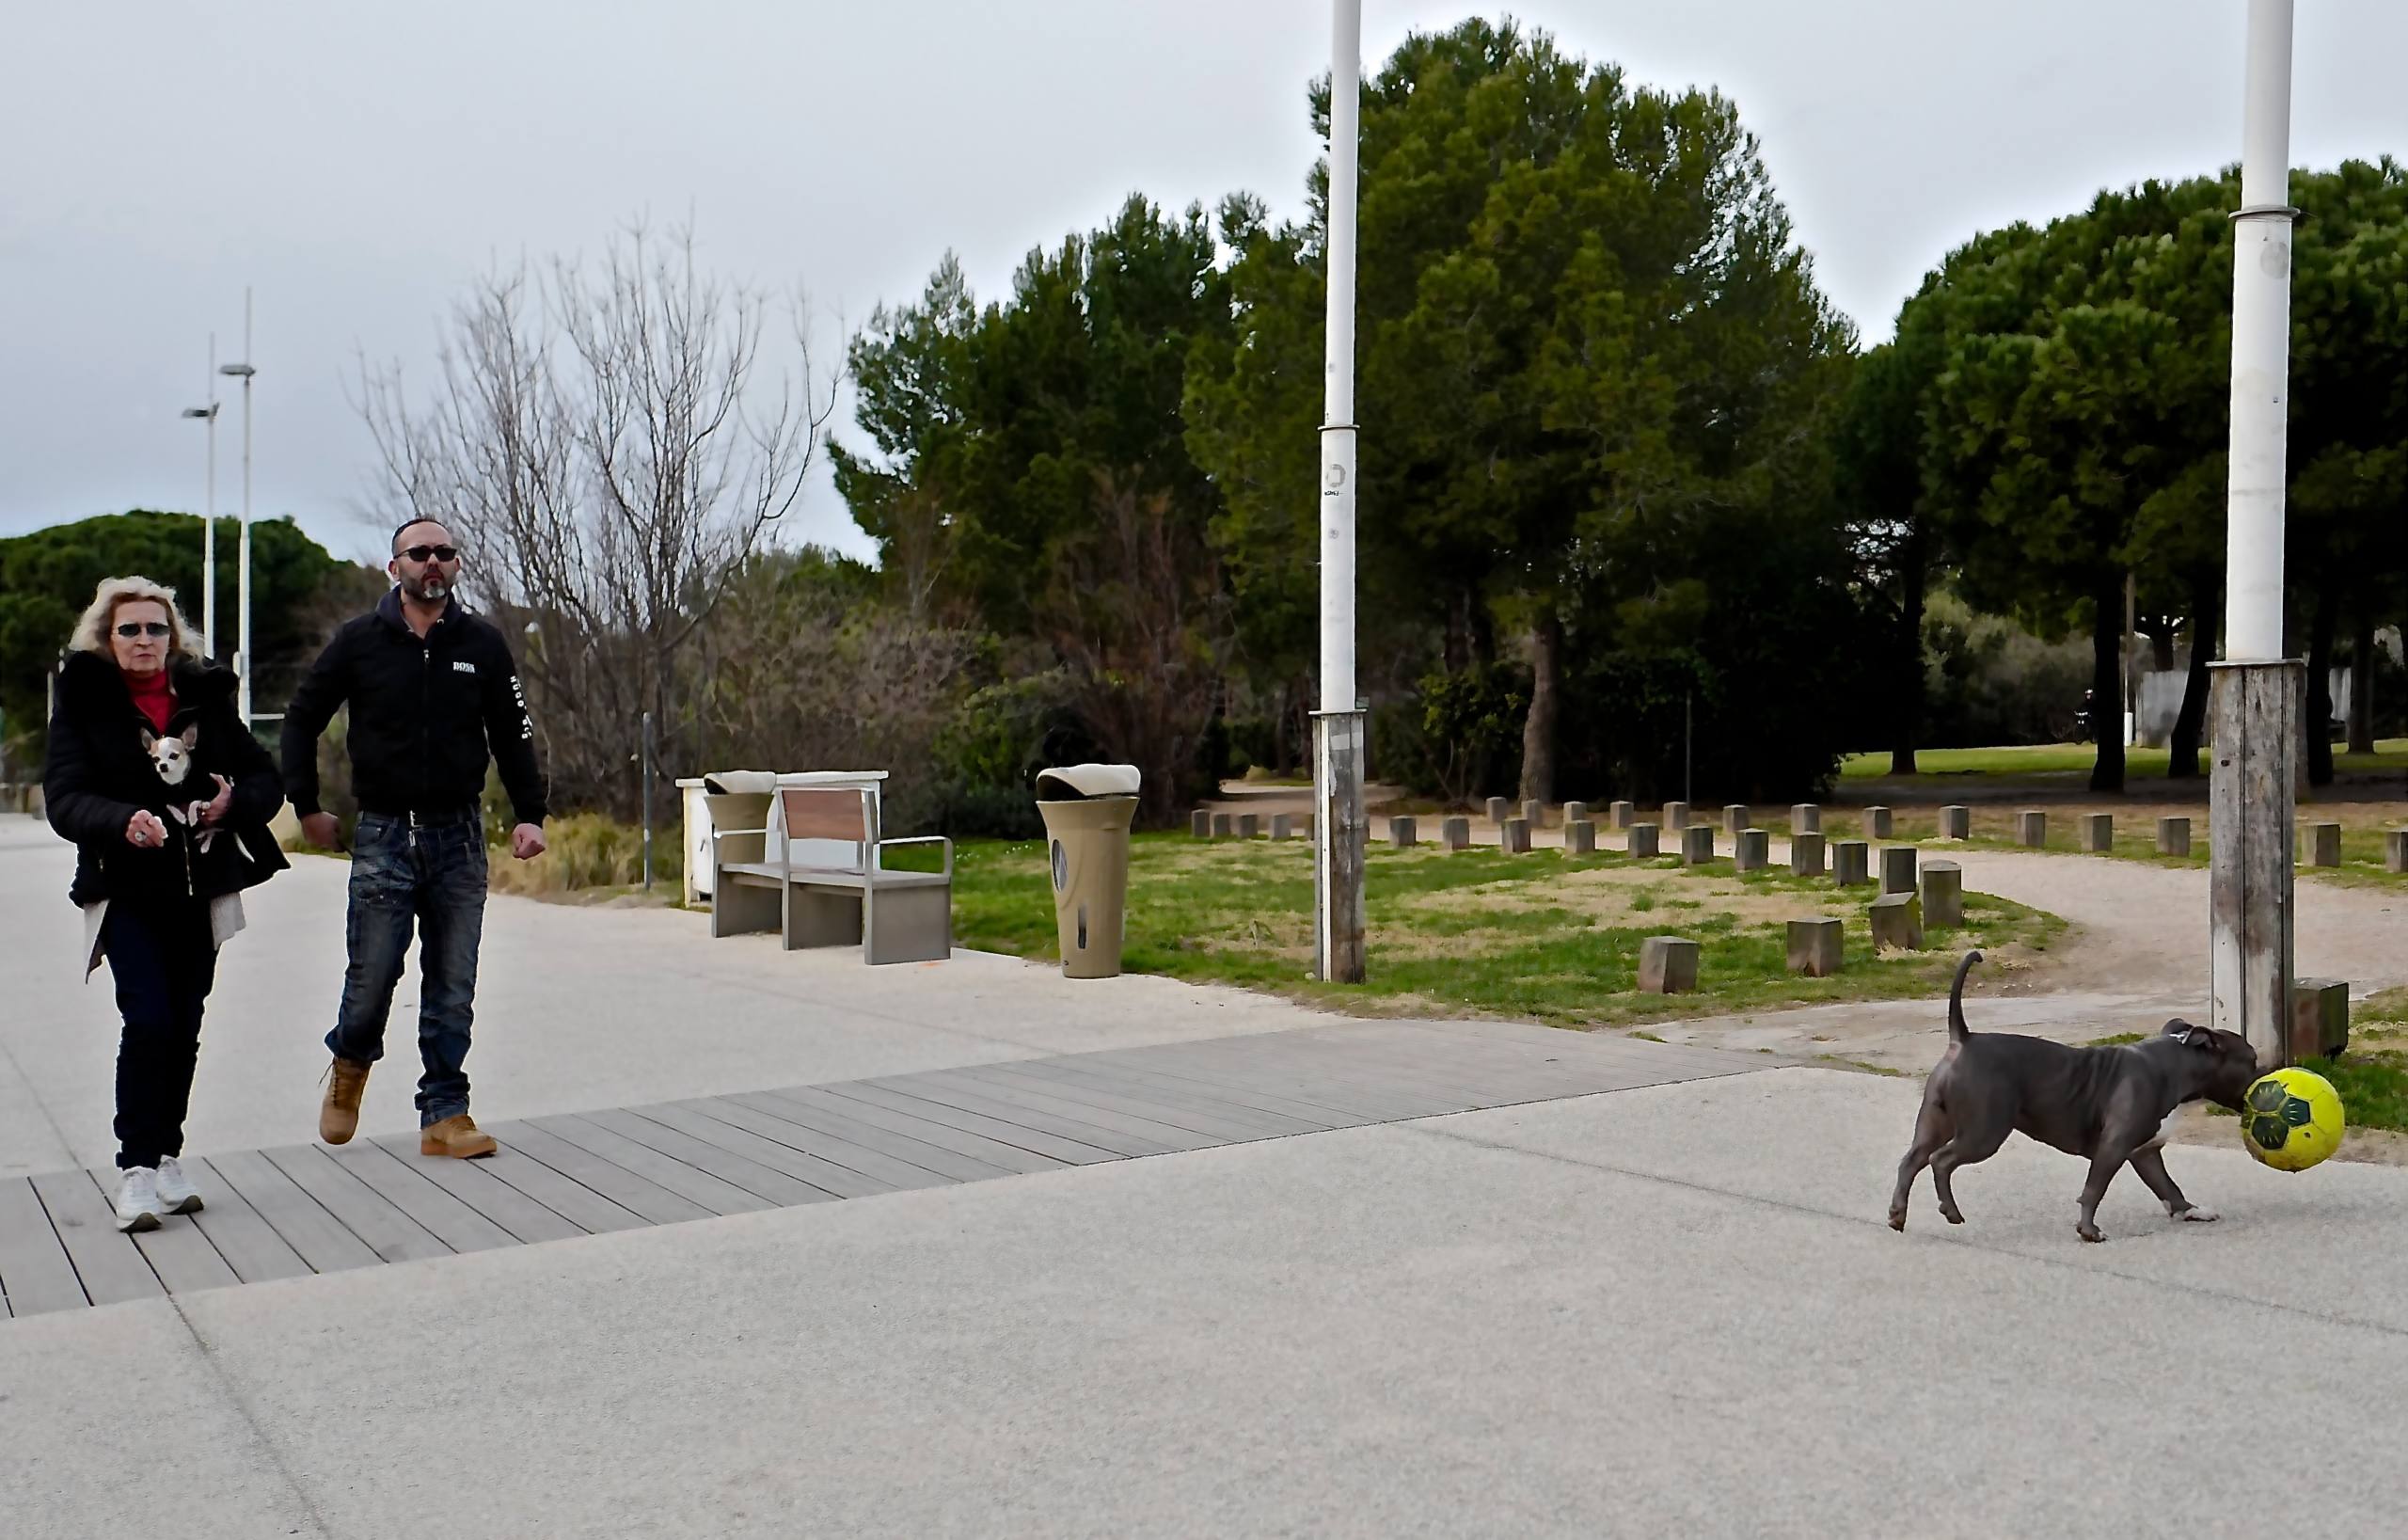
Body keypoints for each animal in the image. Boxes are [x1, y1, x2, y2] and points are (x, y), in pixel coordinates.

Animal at [1888, 945, 2263, 1243]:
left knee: (1912, 1161)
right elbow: (2094, 1189)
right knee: (1941, 1161)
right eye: (2252, 1058)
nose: (2264, 1072)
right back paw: (1950, 1212)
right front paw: (2089, 1231)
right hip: (1984, 1133)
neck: (2179, 1065)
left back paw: (1897, 1215)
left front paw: (2191, 1211)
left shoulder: (2145, 1152)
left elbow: (2168, 1187)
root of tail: (1962, 1039)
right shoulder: (2114, 1148)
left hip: (1934, 1123)